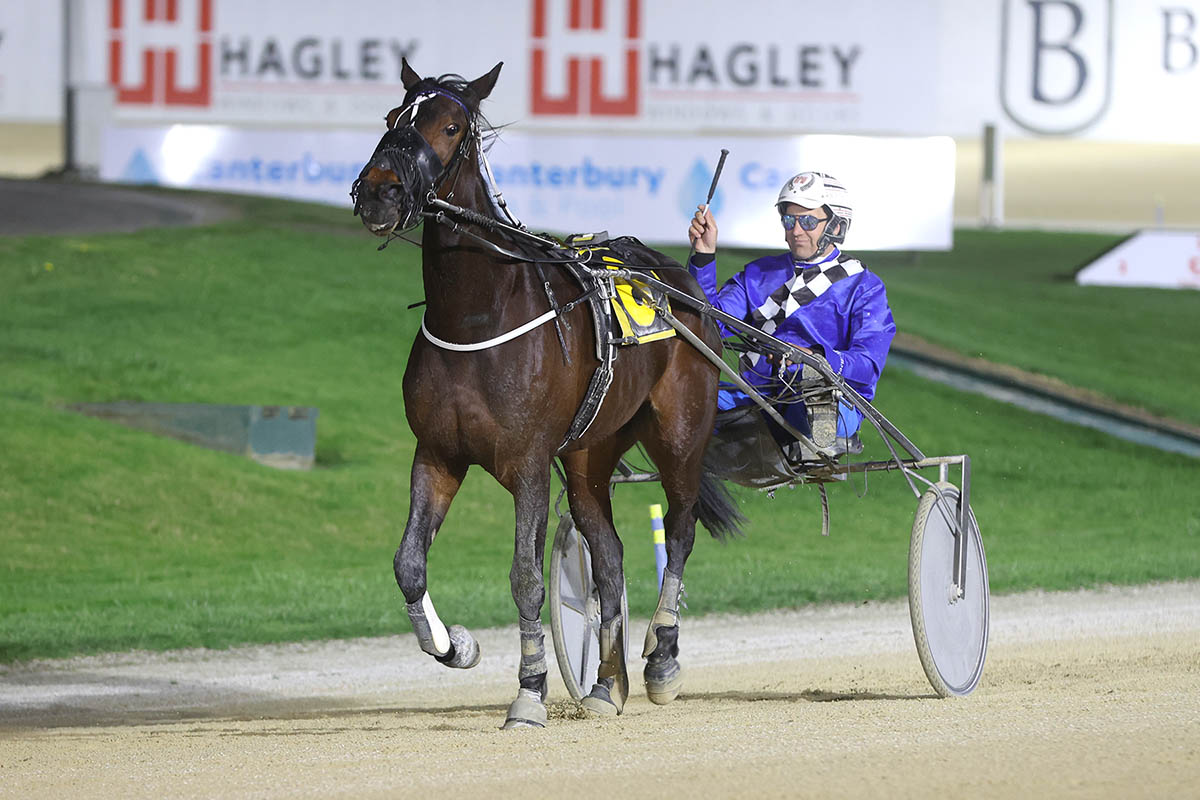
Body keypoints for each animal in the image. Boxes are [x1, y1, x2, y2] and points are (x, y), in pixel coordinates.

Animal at [351, 59, 741, 729]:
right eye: (393, 116)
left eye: (451, 126)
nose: (380, 190)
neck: (476, 317)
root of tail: (682, 282)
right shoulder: (437, 453)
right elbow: (408, 563)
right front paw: (456, 645)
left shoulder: (528, 460)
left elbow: (527, 578)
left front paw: (529, 692)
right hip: (588, 453)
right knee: (608, 556)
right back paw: (606, 683)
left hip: (680, 436)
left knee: (680, 532)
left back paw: (661, 659)